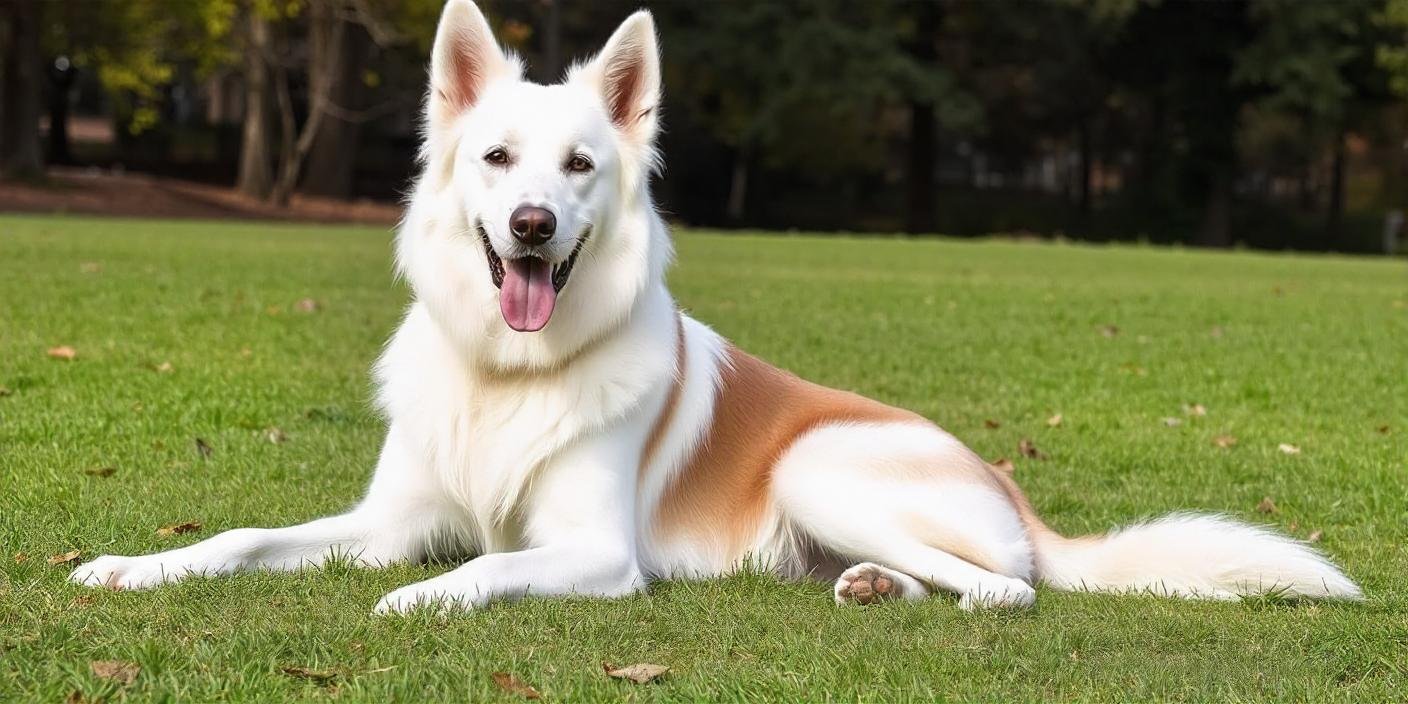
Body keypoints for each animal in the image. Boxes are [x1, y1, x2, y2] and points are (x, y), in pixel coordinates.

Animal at [71, 0, 1357, 611]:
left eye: (579, 166)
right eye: (497, 159)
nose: (531, 224)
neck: (506, 375)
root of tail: (1009, 485)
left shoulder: (592, 551)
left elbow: (481, 567)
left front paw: (421, 598)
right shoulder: (386, 517)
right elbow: (243, 538)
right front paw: (136, 564)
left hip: (819, 466)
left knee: (1004, 586)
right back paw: (868, 584)